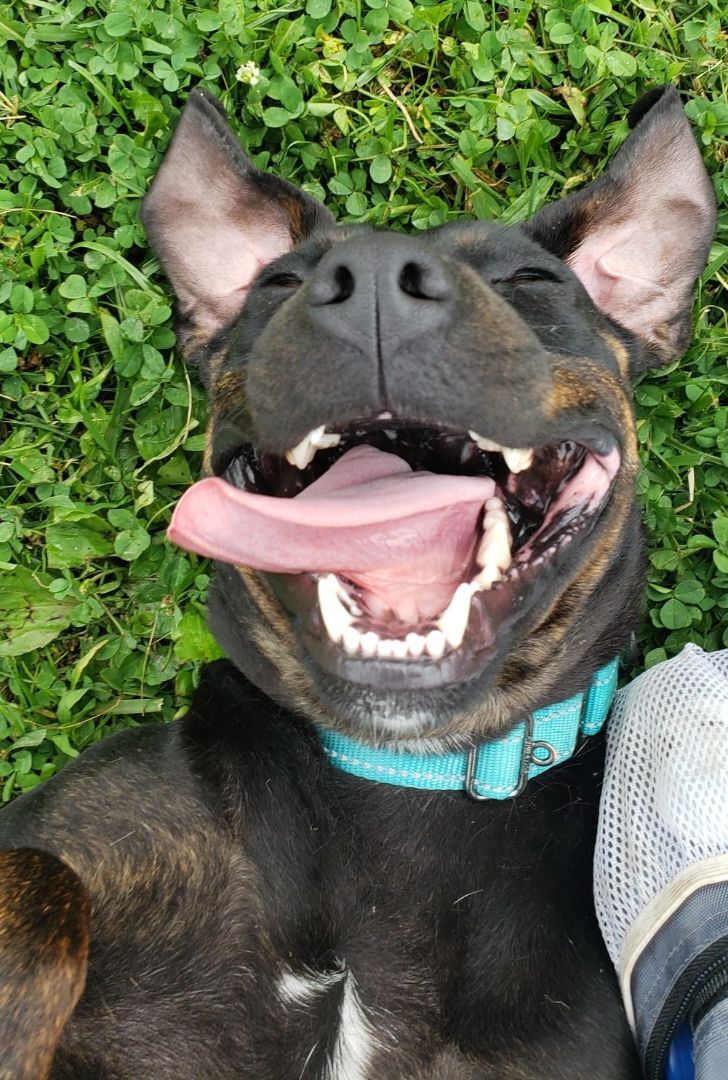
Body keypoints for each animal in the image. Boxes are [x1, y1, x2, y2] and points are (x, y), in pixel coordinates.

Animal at [0, 85, 715, 1079]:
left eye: (533, 282)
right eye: (277, 285)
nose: (373, 279)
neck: (400, 777)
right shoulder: (59, 838)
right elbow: (41, 882)